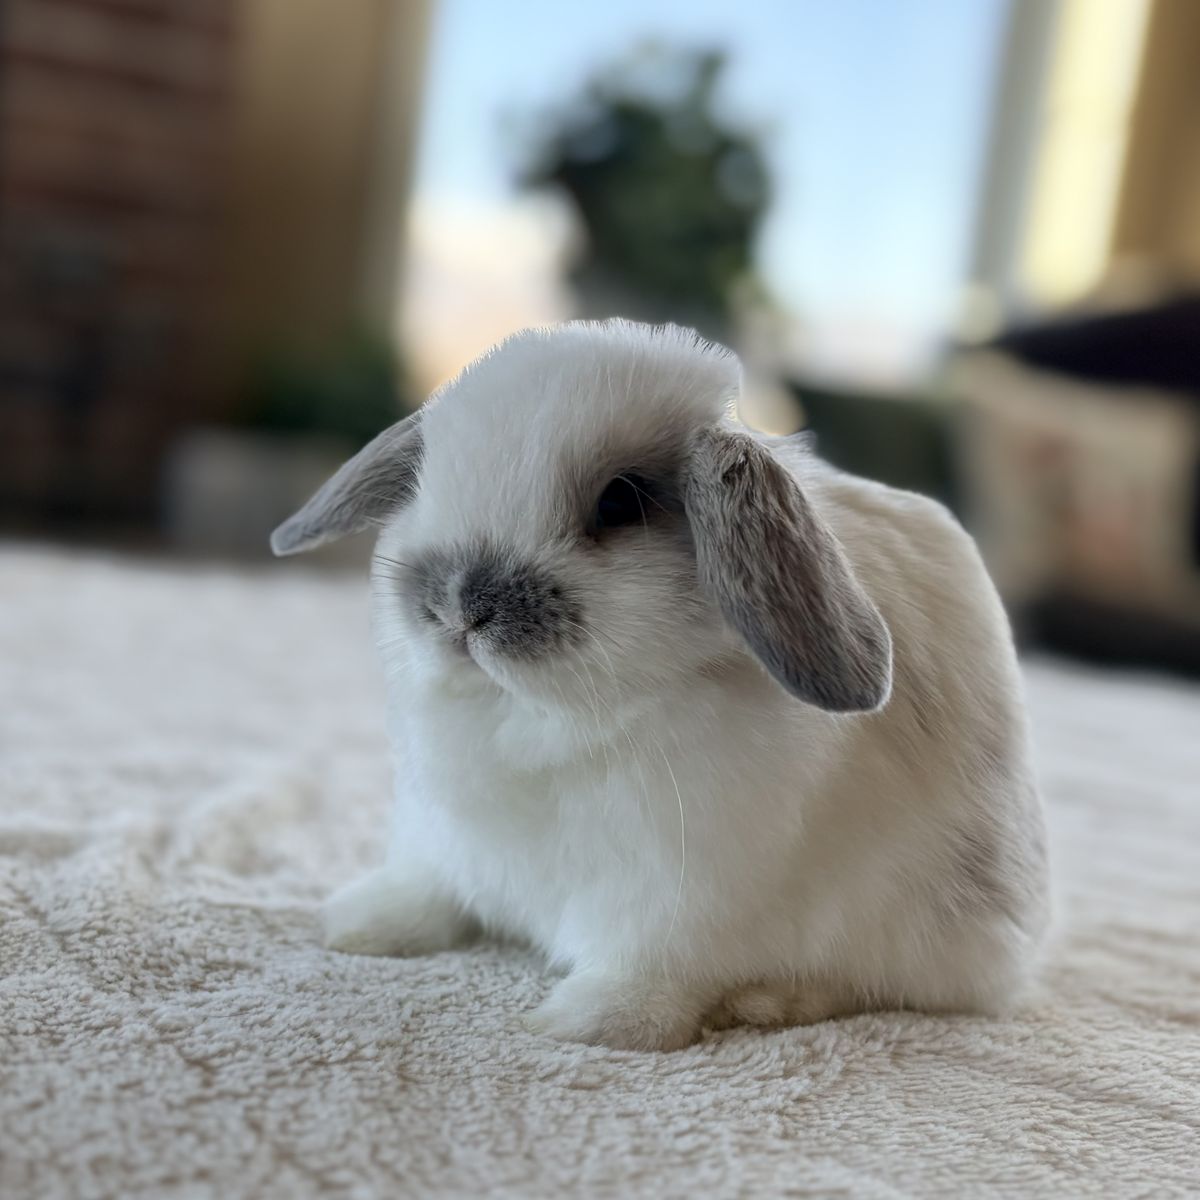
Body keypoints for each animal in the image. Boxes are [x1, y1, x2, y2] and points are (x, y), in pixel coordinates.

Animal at [272, 319, 1049, 1051]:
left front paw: (587, 1024)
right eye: (426, 478)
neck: (536, 713)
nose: (461, 606)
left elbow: (645, 971)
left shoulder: (675, 897)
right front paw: (358, 926)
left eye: (621, 502)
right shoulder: (437, 834)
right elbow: (429, 888)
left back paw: (769, 1002)